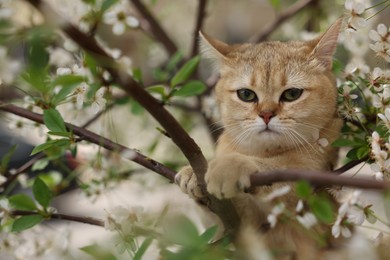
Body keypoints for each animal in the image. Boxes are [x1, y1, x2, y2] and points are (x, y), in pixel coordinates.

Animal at [176, 19, 378, 260]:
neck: (264, 150)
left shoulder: (306, 181)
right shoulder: (241, 227)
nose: (266, 114)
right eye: (246, 94)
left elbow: (275, 168)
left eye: (292, 94)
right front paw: (193, 173)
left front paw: (229, 166)